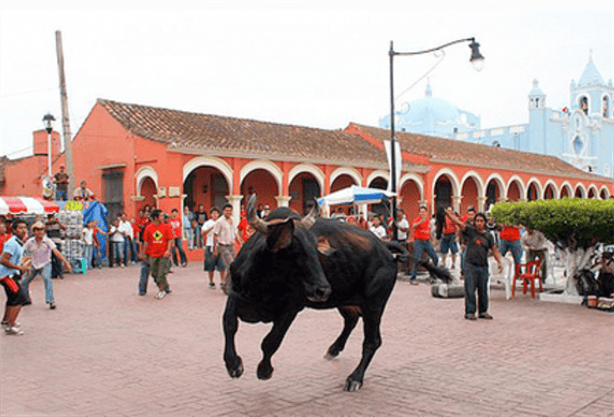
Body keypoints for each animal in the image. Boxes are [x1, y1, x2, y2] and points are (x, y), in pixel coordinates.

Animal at [223, 203, 410, 392]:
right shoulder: (234, 295)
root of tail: (385, 249)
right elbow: (229, 324)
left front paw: (264, 370)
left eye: (315, 251)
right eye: (293, 251)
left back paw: (355, 378)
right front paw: (233, 365)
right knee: (351, 319)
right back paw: (333, 349)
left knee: (372, 341)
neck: (259, 287)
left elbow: (271, 340)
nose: (323, 290)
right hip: (345, 300)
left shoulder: (292, 308)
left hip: (375, 305)